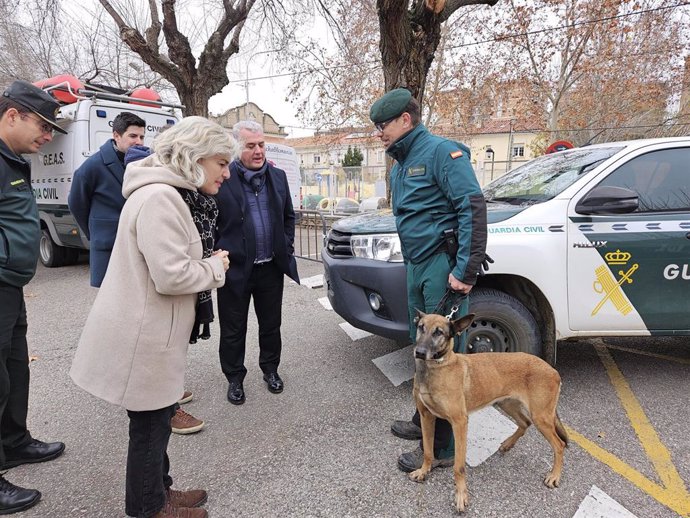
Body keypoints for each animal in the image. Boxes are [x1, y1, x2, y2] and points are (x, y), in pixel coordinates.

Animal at [408, 310, 564, 512]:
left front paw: (461, 496)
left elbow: (458, 466)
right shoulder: (426, 416)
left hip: (541, 417)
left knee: (559, 445)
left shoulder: (459, 422)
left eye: (439, 332)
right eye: (421, 327)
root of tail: (553, 371)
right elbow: (428, 451)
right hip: (507, 404)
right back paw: (508, 444)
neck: (437, 366)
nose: (419, 352)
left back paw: (554, 476)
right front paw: (423, 471)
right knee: (524, 423)